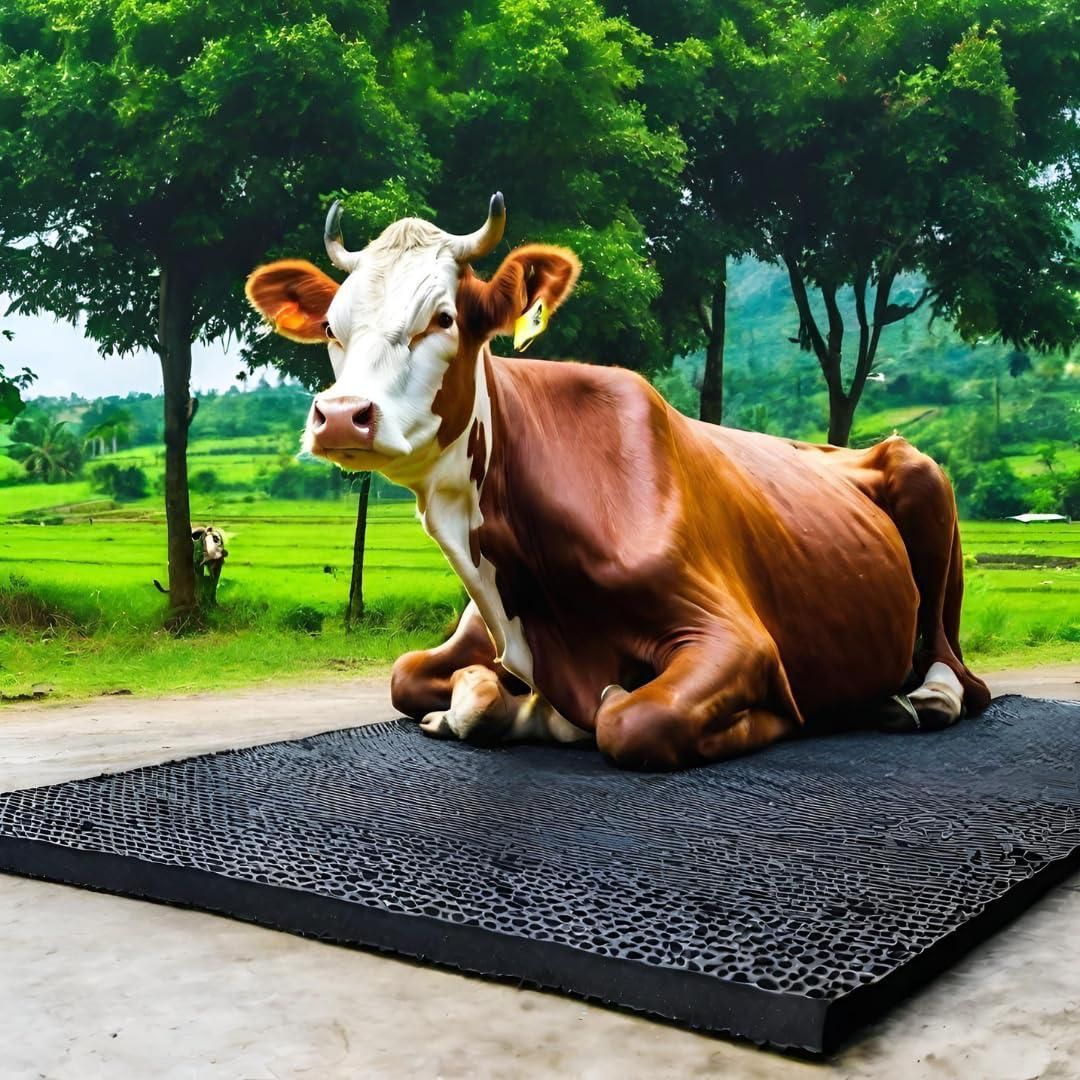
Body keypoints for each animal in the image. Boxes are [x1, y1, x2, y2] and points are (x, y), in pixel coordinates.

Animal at [245, 195, 990, 770]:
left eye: (443, 318)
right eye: (333, 328)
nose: (342, 415)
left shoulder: (736, 637)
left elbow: (631, 720)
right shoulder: (483, 632)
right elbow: (411, 677)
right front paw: (490, 706)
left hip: (925, 482)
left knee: (956, 667)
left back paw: (917, 697)